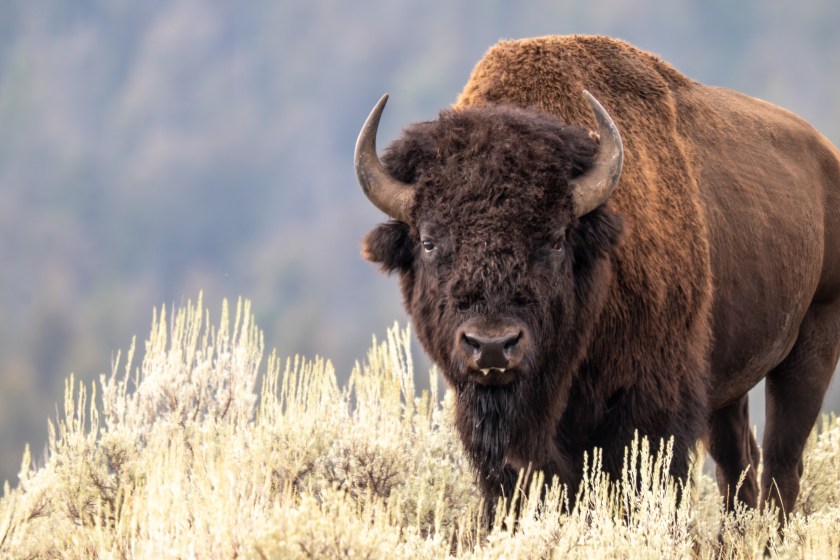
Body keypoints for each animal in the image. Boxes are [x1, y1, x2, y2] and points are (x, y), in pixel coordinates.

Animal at [355, 35, 840, 520]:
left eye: (555, 239)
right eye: (428, 241)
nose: (492, 346)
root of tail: (826, 156)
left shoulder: (652, 403)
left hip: (813, 342)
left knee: (782, 464)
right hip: (729, 383)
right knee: (738, 463)